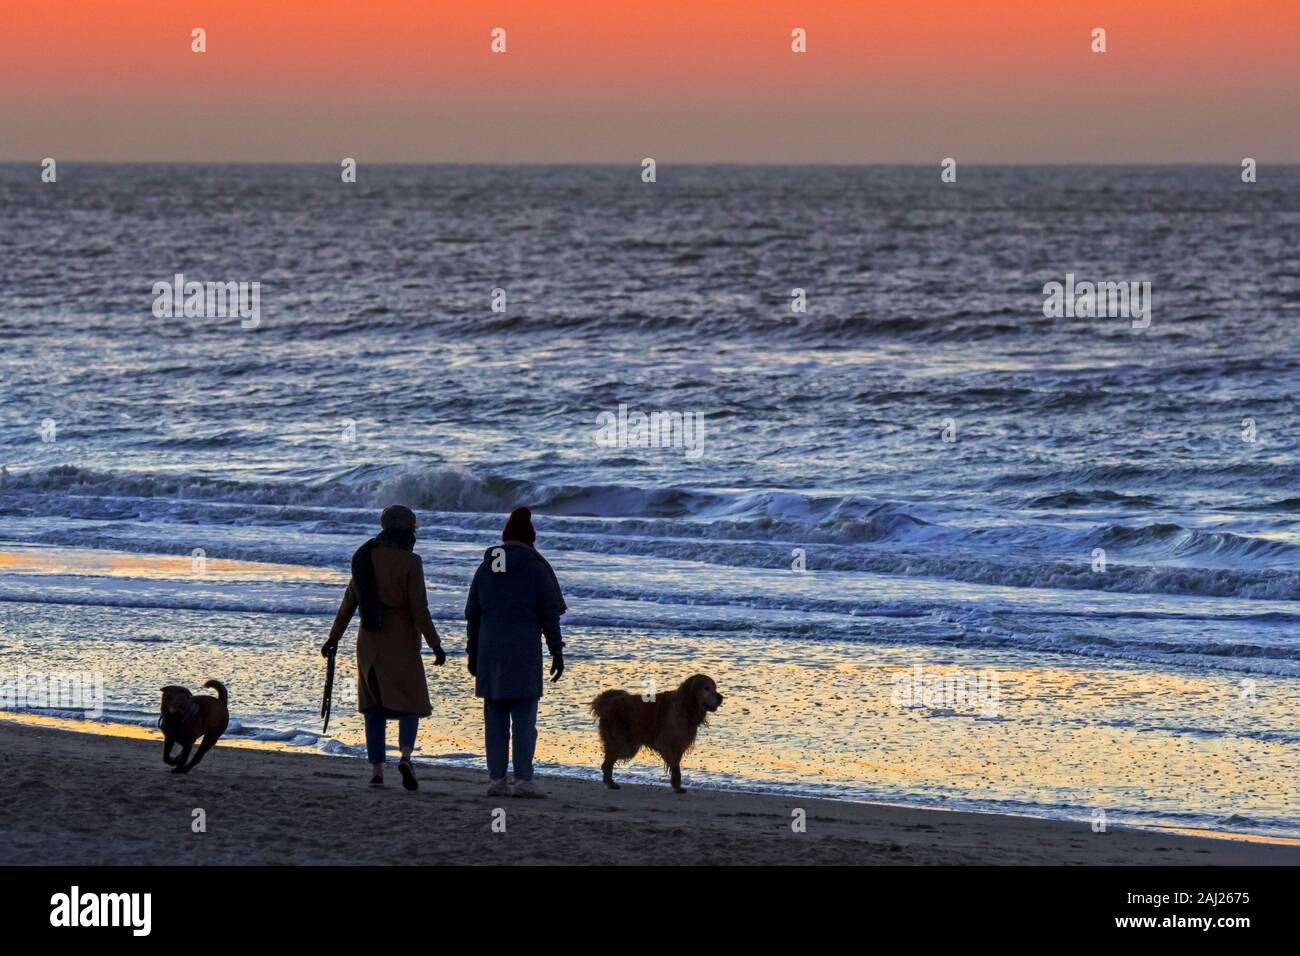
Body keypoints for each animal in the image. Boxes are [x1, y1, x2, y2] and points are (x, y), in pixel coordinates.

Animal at [590, 671, 722, 790]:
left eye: (715, 688)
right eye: (706, 688)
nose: (721, 698)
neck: (685, 706)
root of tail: (607, 702)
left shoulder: (679, 744)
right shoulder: (668, 743)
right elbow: (675, 767)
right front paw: (677, 786)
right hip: (621, 743)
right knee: (606, 764)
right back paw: (610, 783)